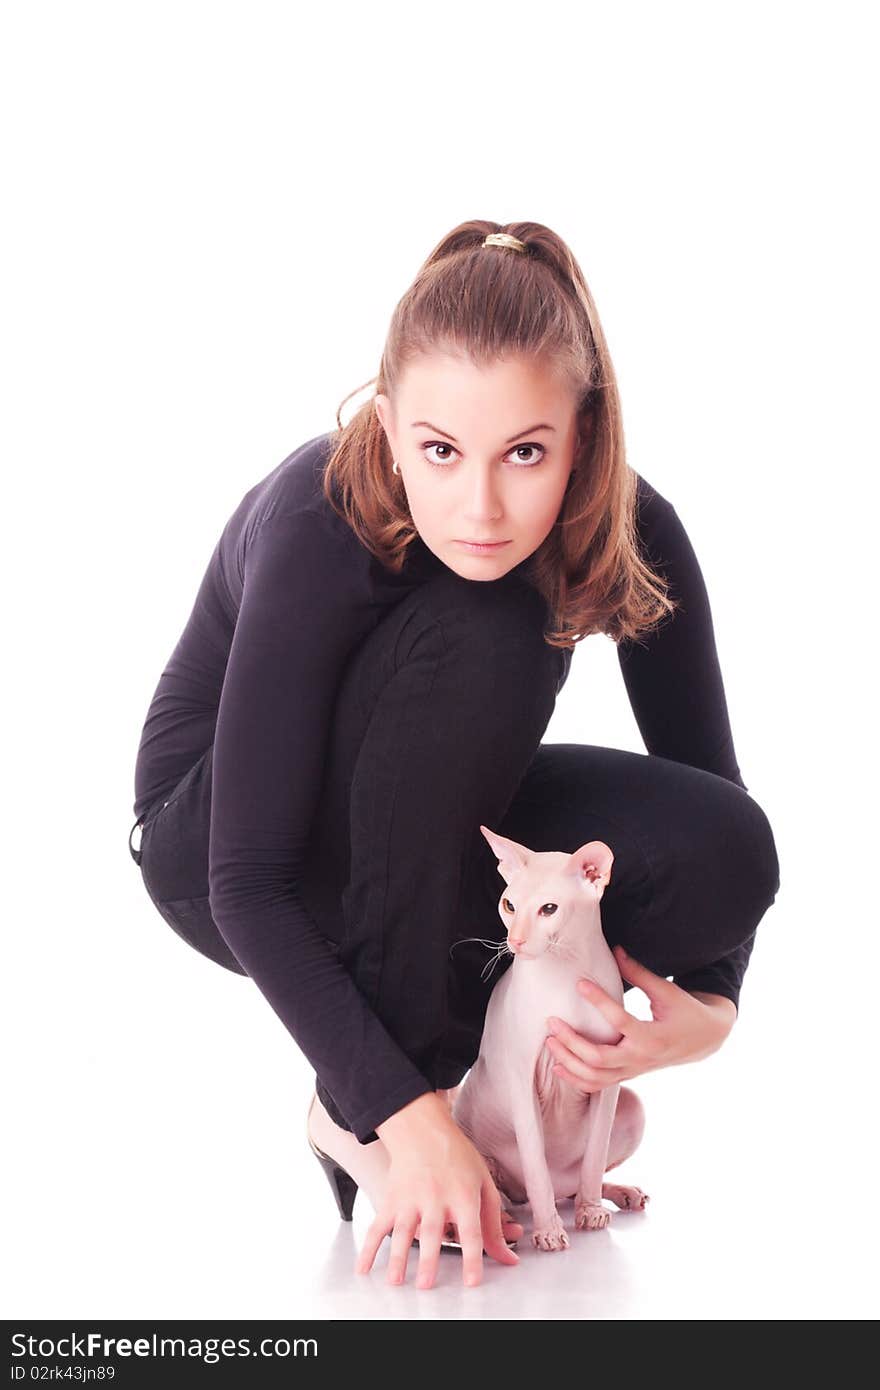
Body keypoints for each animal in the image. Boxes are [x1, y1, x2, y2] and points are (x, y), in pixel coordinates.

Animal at [453, 817, 645, 1256]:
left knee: (578, 1181)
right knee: (512, 1189)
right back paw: (501, 1218)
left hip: (631, 1108)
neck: (565, 970)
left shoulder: (606, 1074)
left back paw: (616, 1194)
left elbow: (594, 1157)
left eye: (549, 909)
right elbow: (535, 1163)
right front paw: (548, 1232)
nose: (516, 942)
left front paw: (591, 1212)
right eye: (509, 905)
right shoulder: (522, 1079)